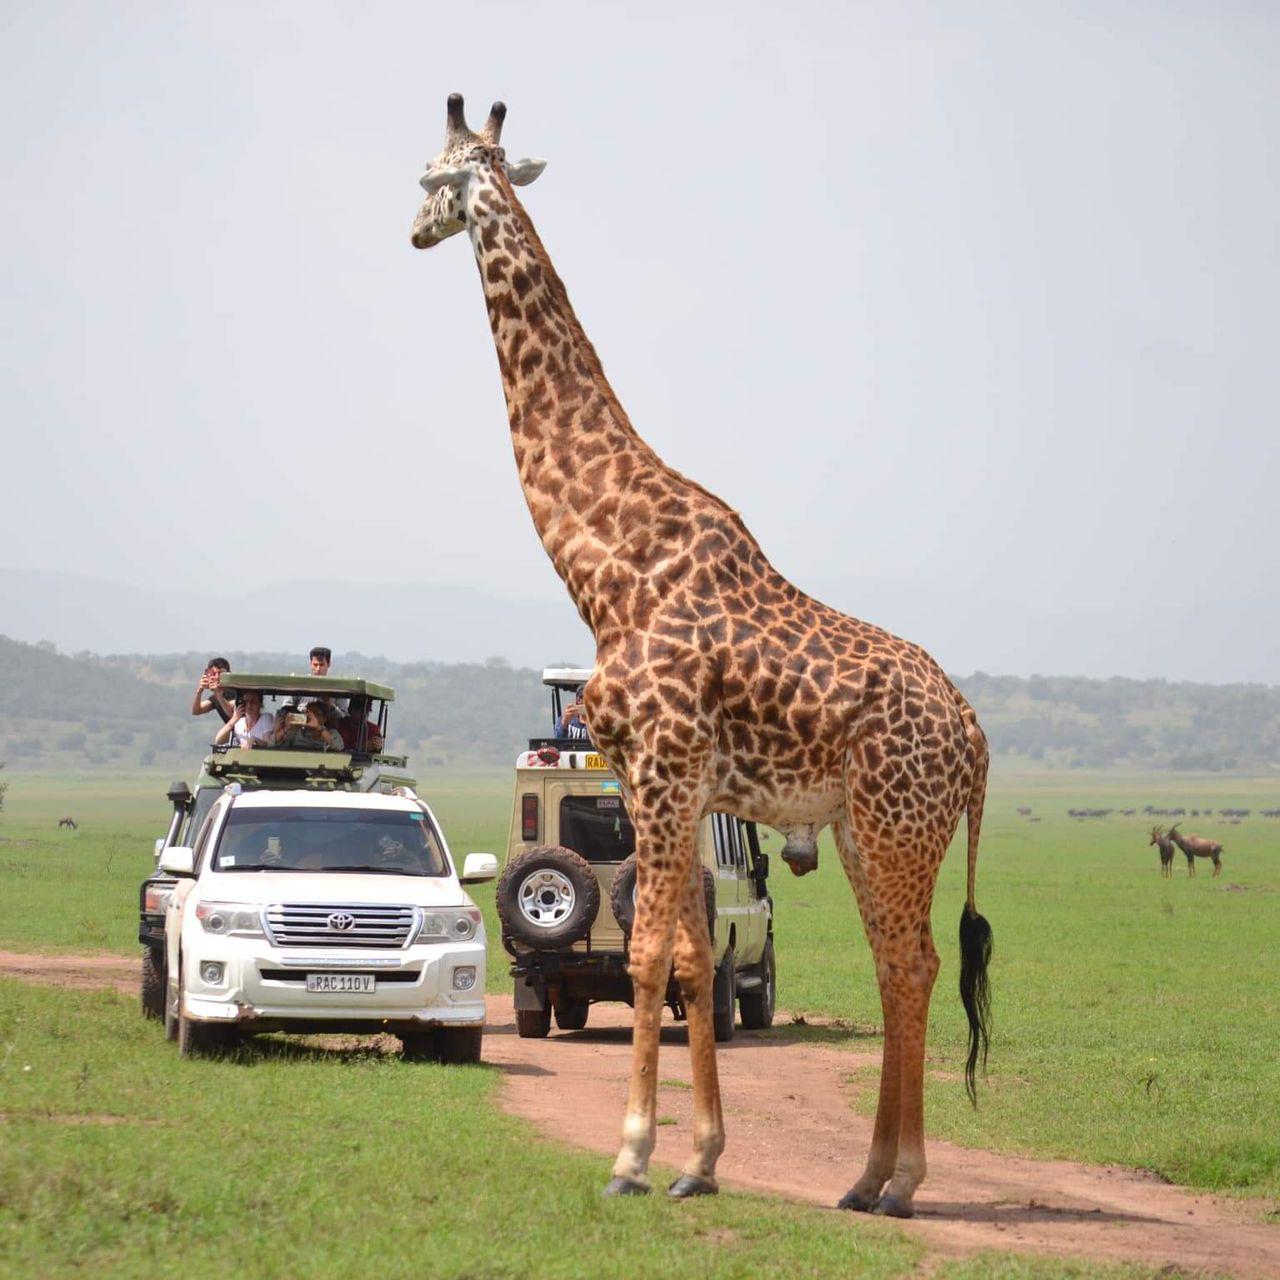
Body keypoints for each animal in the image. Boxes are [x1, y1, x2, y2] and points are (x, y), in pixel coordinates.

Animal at [409, 94, 993, 1218]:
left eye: (429, 178)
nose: (411, 232)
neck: (604, 558)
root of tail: (977, 739)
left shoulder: (665, 766)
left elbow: (643, 956)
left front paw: (631, 1156)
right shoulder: (663, 776)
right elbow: (685, 958)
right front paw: (699, 1160)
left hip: (897, 824)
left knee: (911, 960)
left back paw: (901, 1180)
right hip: (864, 826)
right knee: (903, 960)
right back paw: (868, 1178)